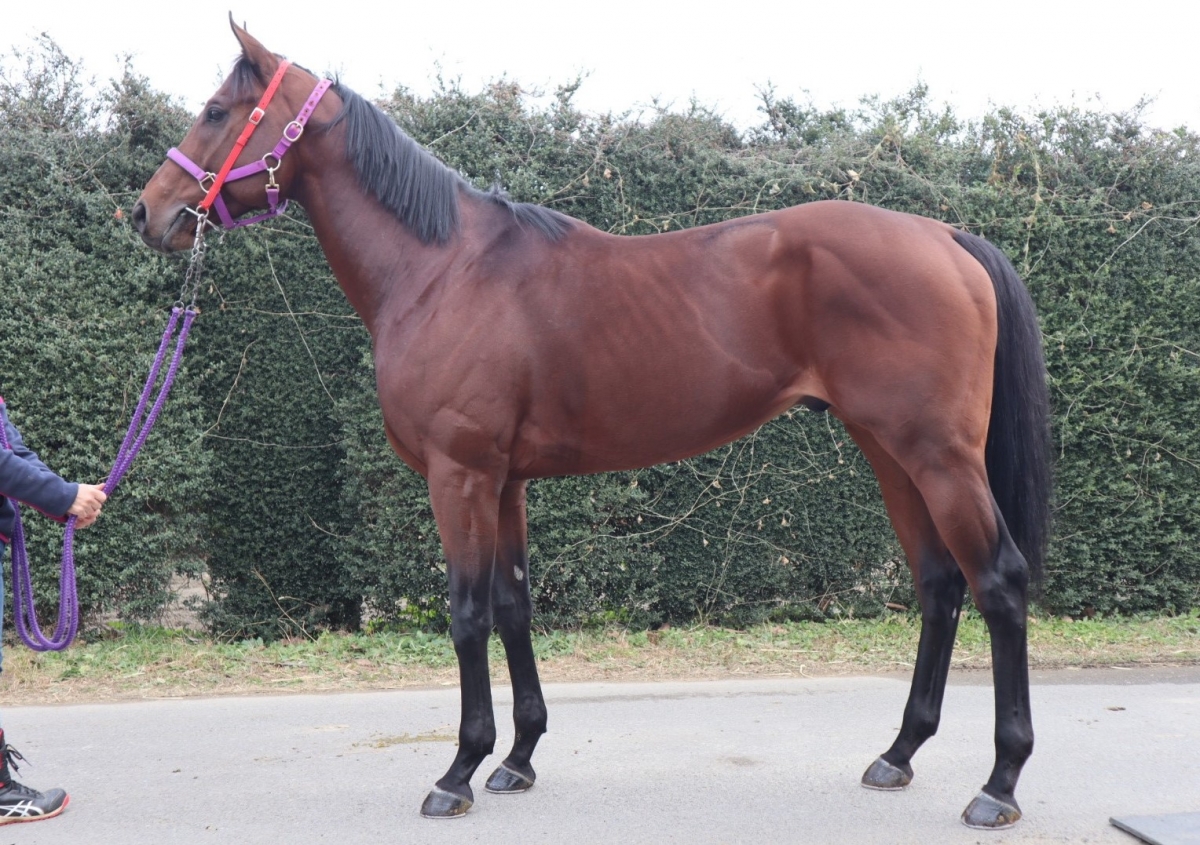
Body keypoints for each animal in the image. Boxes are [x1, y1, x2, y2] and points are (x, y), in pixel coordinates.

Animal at [132, 20, 1052, 830]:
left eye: (215, 109)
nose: (149, 211)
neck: (441, 269)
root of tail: (944, 235)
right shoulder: (504, 480)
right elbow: (513, 603)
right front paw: (517, 758)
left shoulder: (459, 474)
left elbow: (466, 611)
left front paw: (458, 770)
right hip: (891, 453)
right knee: (938, 583)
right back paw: (898, 753)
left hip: (939, 457)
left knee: (998, 581)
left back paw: (998, 783)